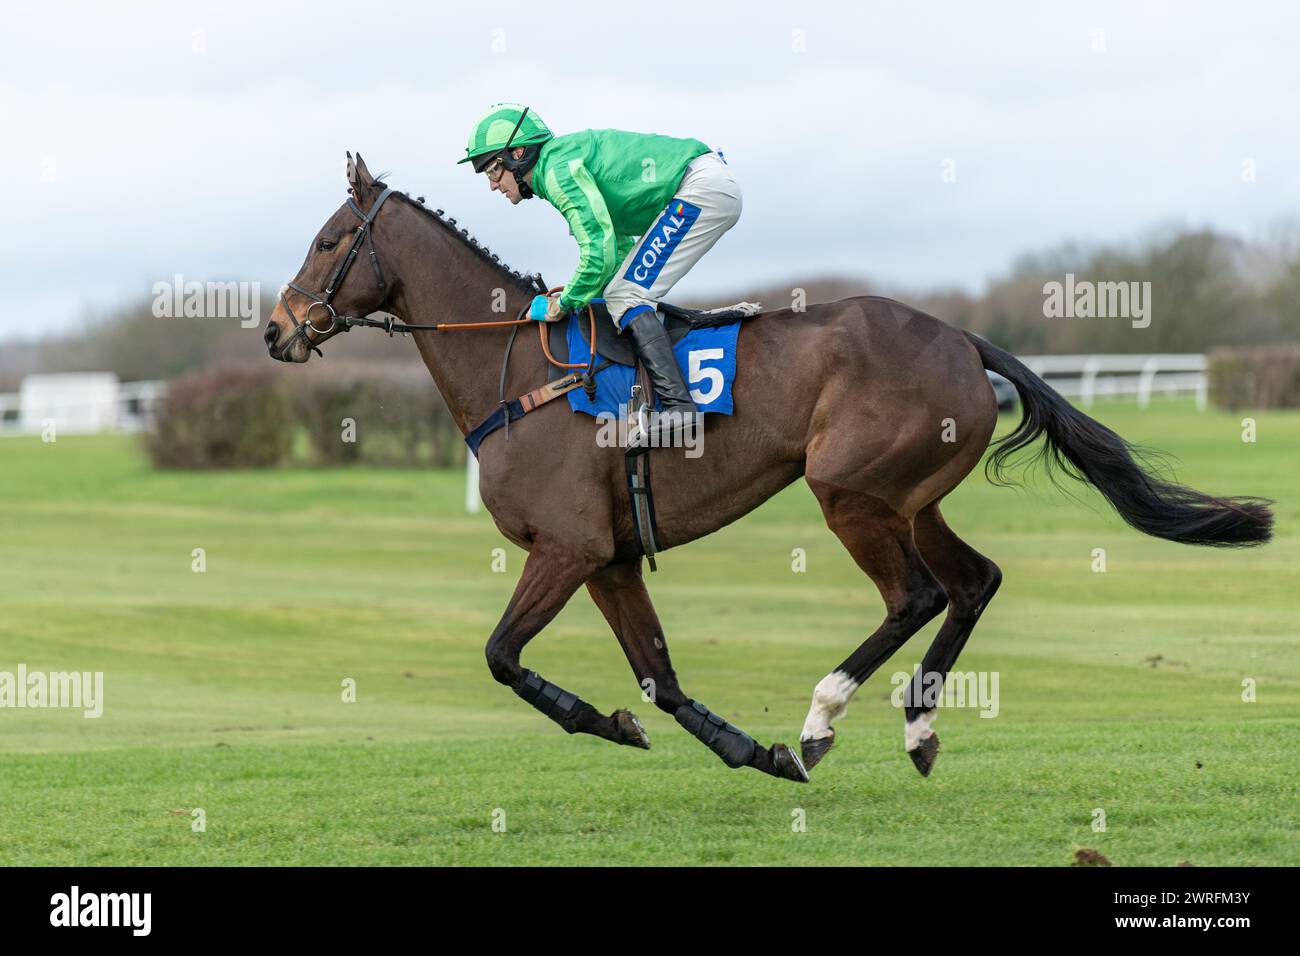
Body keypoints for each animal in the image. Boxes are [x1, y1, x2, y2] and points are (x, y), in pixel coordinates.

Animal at [261, 153, 1268, 785]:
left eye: (327, 239)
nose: (275, 330)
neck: (517, 367)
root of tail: (960, 337)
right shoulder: (611, 559)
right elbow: (661, 682)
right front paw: (735, 749)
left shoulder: (568, 547)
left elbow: (503, 656)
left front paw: (642, 728)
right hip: (911, 495)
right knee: (975, 581)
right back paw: (917, 729)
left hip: (849, 491)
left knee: (915, 595)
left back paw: (822, 719)